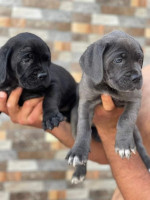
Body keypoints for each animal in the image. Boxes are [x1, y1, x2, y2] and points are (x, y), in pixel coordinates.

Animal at [66, 30, 150, 183]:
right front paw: (78, 152)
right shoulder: (86, 102)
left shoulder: (134, 99)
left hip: (136, 131)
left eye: (140, 60)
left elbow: (125, 120)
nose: (137, 78)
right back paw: (79, 171)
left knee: (140, 146)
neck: (107, 87)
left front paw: (123, 145)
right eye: (119, 60)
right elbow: (83, 127)